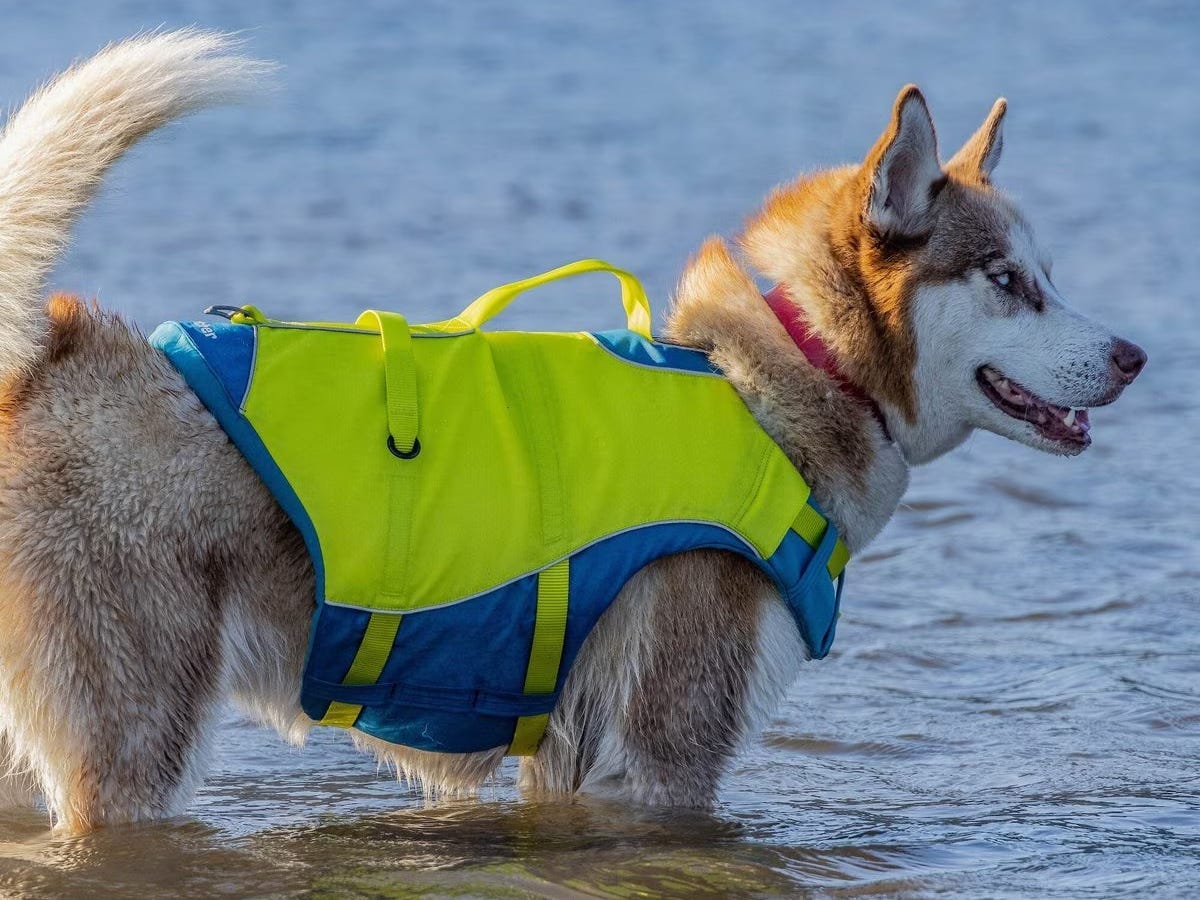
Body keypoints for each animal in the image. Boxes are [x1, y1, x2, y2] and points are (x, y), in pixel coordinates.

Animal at [0, 31, 1147, 835]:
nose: (1135, 354)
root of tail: (50, 354)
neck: (784, 383)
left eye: (1050, 277)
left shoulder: (566, 759)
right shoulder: (660, 757)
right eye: (1008, 281)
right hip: (135, 751)